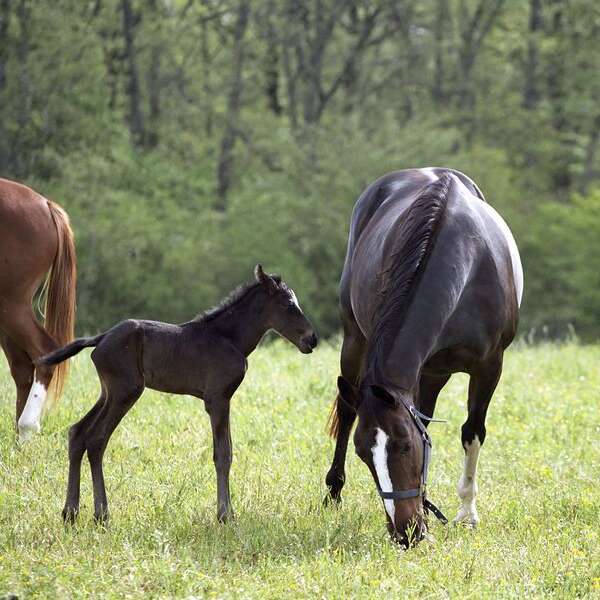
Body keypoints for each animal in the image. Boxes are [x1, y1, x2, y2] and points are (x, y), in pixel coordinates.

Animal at [38, 266, 316, 524]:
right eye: (289, 305)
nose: (312, 339)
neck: (229, 338)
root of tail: (102, 337)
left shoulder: (222, 399)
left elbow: (227, 450)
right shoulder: (217, 399)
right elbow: (223, 454)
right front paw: (225, 515)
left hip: (108, 392)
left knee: (77, 432)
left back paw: (70, 512)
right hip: (124, 391)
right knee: (96, 439)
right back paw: (101, 514)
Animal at [324, 166, 520, 548]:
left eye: (403, 445)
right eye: (362, 454)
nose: (405, 533)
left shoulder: (490, 366)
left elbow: (472, 431)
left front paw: (466, 514)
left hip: (435, 373)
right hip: (356, 340)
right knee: (348, 409)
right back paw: (333, 492)